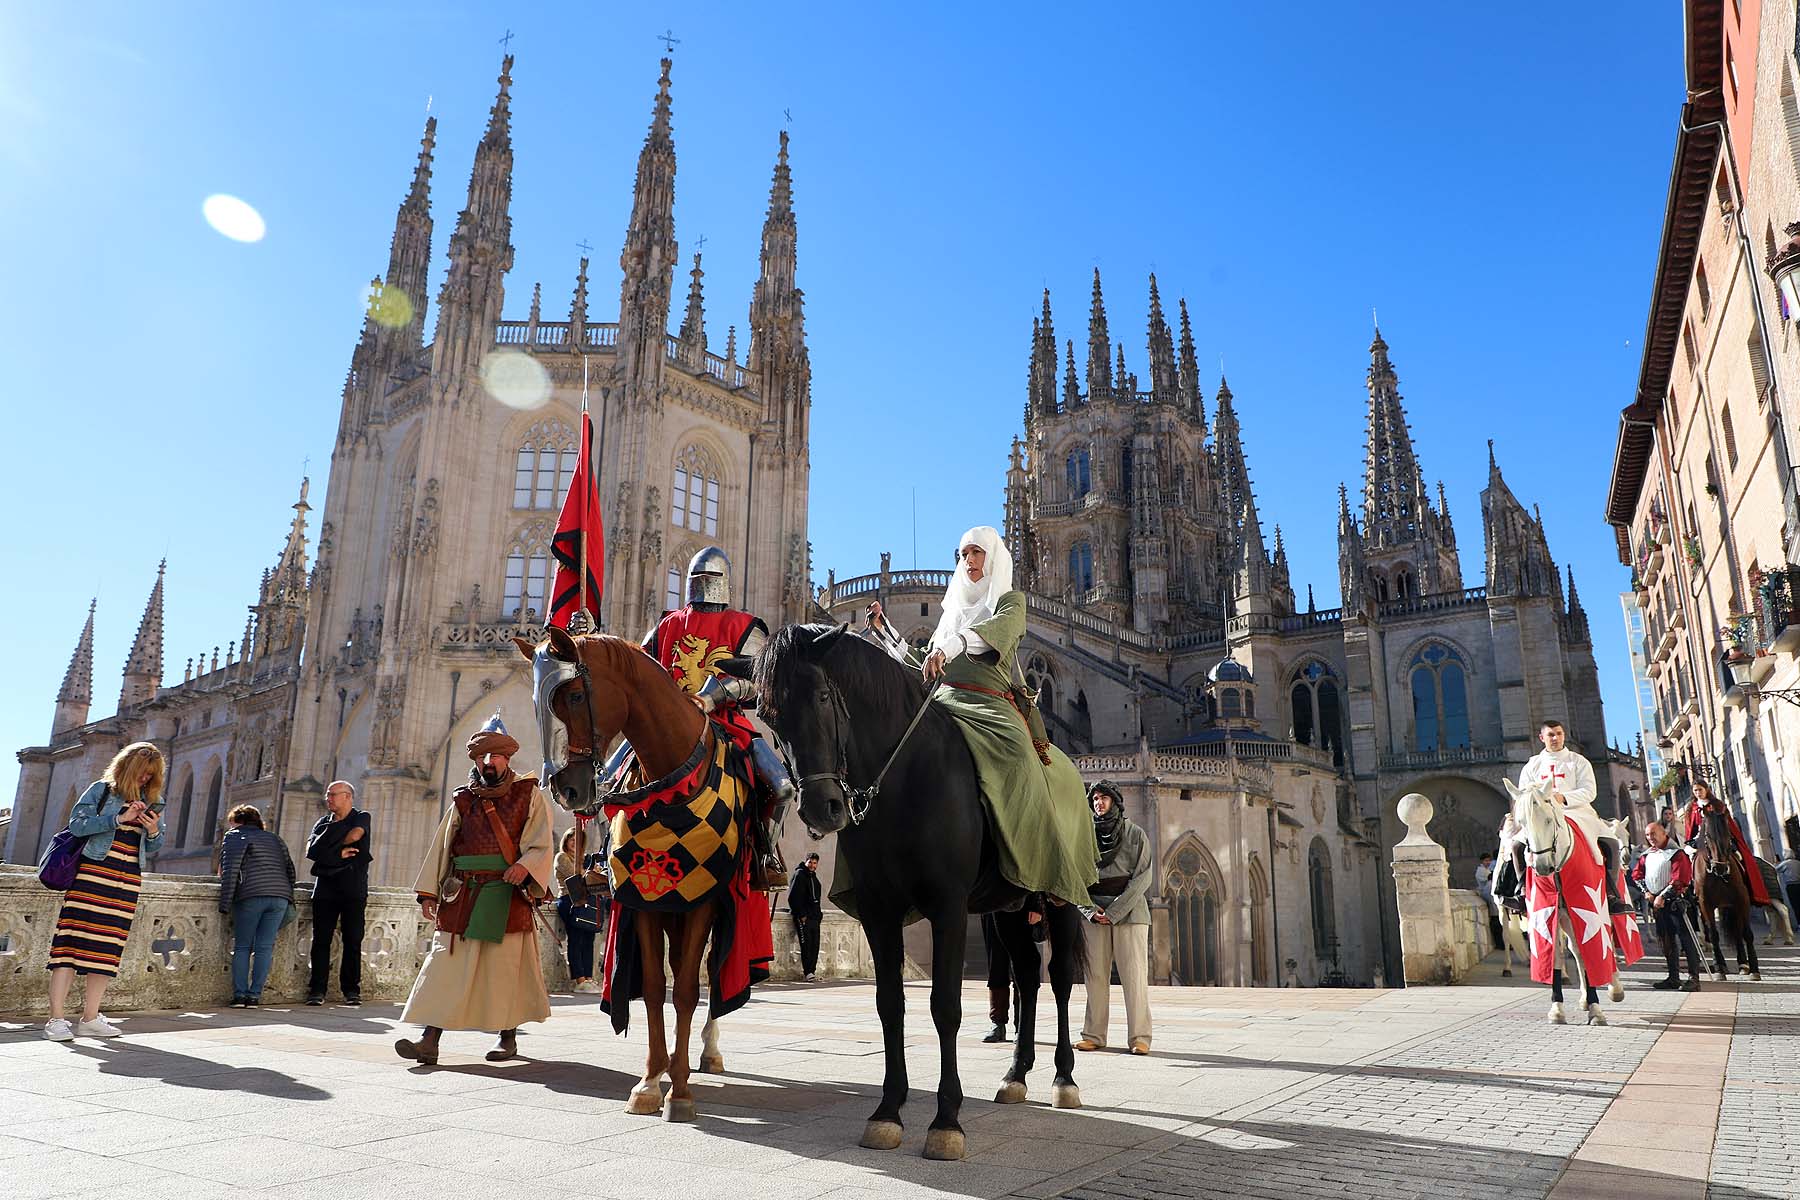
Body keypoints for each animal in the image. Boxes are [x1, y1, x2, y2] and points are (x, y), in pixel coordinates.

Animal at [511, 629, 727, 1129]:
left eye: (573, 695)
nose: (567, 790)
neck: (667, 785)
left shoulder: (703, 900)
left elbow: (687, 992)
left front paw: (680, 1092)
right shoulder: (644, 902)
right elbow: (652, 990)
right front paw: (650, 1082)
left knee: (711, 974)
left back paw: (707, 1052)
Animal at [756, 626, 1080, 1158]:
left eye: (823, 696)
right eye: (768, 716)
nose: (822, 808)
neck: (905, 778)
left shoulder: (949, 908)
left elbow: (945, 1007)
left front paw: (947, 1121)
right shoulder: (878, 912)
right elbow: (890, 1006)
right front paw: (888, 1111)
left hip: (1061, 898)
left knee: (1060, 980)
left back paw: (1064, 1079)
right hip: (1009, 908)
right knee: (1028, 977)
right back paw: (1016, 1075)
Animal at [1504, 784, 1634, 1029]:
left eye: (1548, 820)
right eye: (1522, 822)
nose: (1542, 867)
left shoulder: (1590, 913)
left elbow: (1594, 950)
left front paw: (1596, 1010)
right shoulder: (1547, 917)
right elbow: (1556, 956)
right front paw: (1557, 1009)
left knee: (1602, 946)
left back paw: (1614, 987)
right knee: (1575, 951)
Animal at [1692, 805, 1764, 985]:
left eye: (1728, 834)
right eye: (1707, 835)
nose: (1721, 867)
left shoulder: (1741, 901)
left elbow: (1746, 933)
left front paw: (1754, 969)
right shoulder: (1705, 904)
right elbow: (1713, 934)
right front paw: (1719, 969)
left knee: (1737, 930)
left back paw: (1743, 964)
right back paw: (1723, 965)